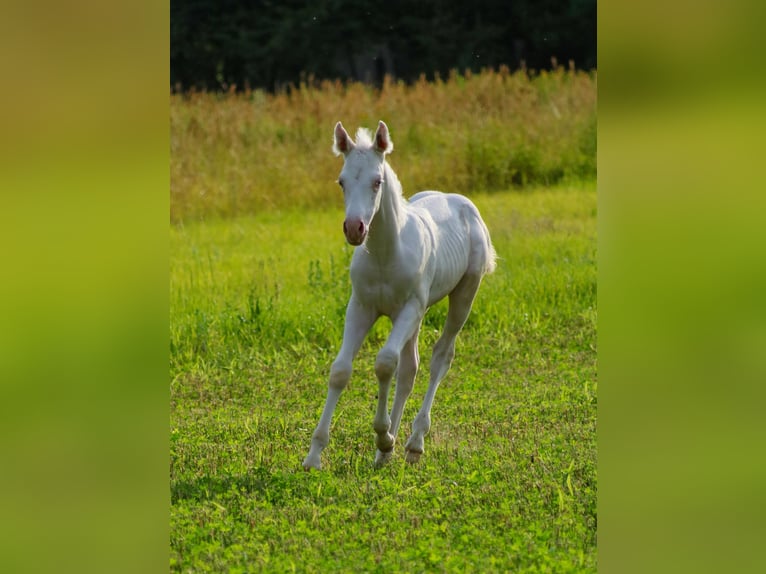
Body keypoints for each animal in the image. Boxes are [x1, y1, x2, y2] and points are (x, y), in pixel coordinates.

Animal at [304, 121, 496, 472]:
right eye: (341, 181)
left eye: (377, 181)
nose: (354, 228)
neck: (384, 255)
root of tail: (461, 202)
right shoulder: (361, 307)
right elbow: (341, 370)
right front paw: (314, 455)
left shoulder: (409, 308)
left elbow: (383, 364)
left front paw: (383, 436)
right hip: (415, 316)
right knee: (409, 369)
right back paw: (389, 452)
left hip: (462, 294)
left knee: (439, 358)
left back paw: (413, 442)